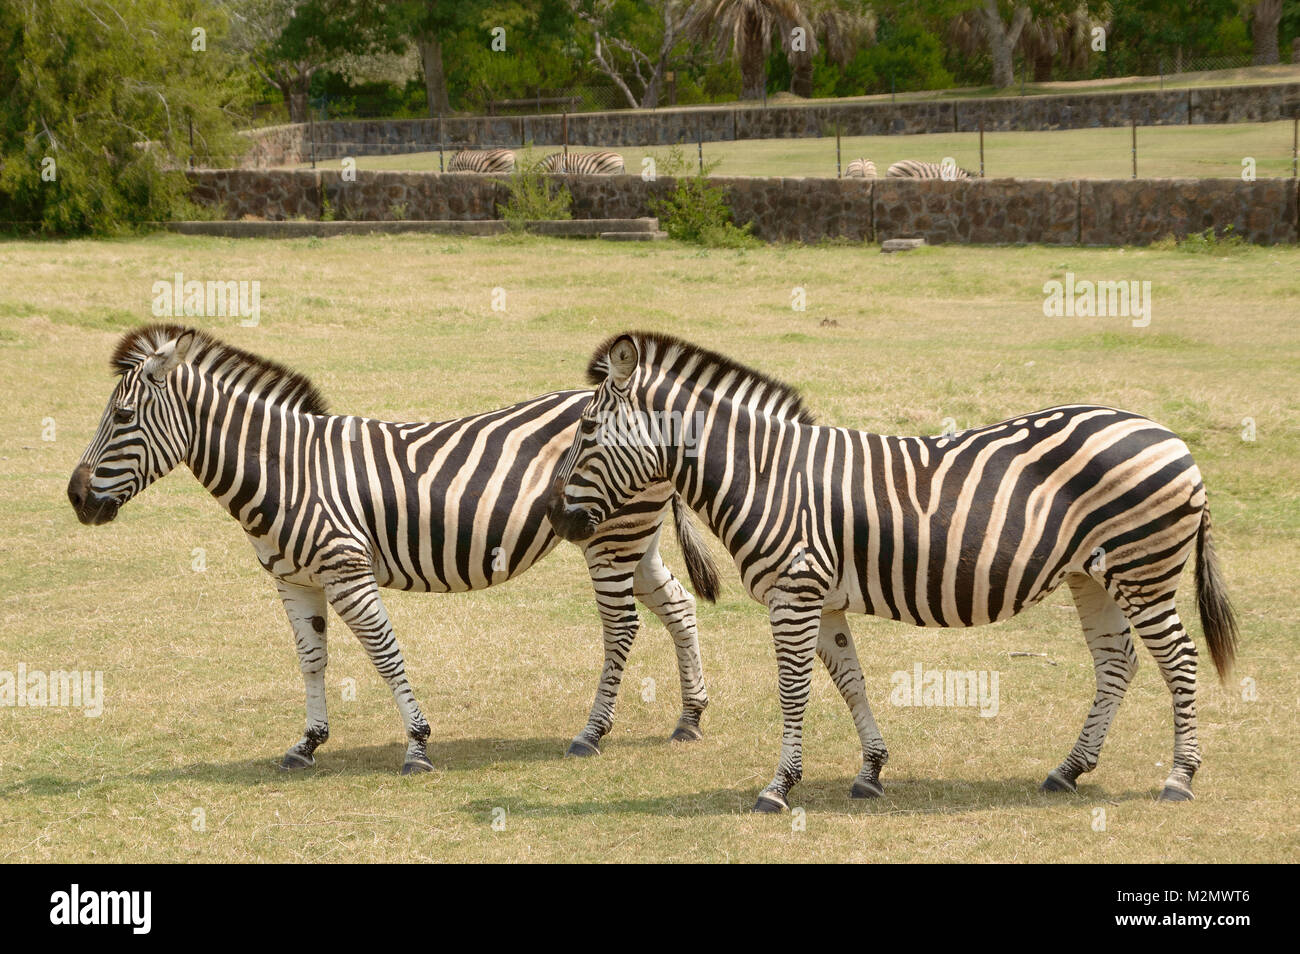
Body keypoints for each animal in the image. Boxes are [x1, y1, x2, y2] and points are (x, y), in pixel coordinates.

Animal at [65, 328, 722, 779]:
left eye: (122, 416)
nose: (74, 497)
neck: (289, 472)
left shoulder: (347, 571)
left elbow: (384, 656)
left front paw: (417, 746)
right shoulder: (293, 579)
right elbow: (311, 659)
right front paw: (307, 742)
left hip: (612, 537)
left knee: (622, 627)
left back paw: (592, 733)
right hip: (632, 537)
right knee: (679, 607)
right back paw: (689, 718)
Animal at [548, 335, 1237, 816]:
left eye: (586, 429)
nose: (555, 515)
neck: (768, 475)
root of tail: (1171, 437)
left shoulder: (794, 594)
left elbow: (793, 692)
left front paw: (779, 787)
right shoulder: (822, 599)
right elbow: (849, 681)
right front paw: (871, 771)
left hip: (1143, 568)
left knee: (1178, 660)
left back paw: (1180, 778)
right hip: (1094, 575)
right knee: (1118, 660)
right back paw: (1068, 770)